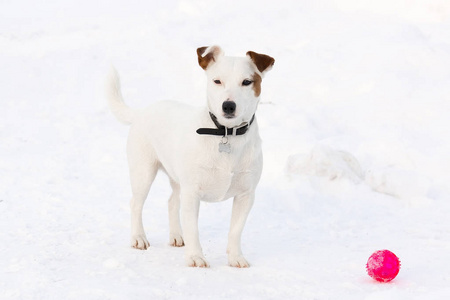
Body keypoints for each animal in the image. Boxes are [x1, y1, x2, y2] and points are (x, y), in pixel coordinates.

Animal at [107, 45, 274, 268]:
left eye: (247, 82)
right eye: (217, 81)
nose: (228, 106)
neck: (225, 133)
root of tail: (142, 112)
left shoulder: (245, 195)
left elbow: (235, 230)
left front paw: (235, 257)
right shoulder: (192, 193)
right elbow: (193, 229)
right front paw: (195, 257)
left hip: (177, 179)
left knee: (172, 202)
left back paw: (177, 236)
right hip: (143, 172)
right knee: (136, 203)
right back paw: (138, 238)